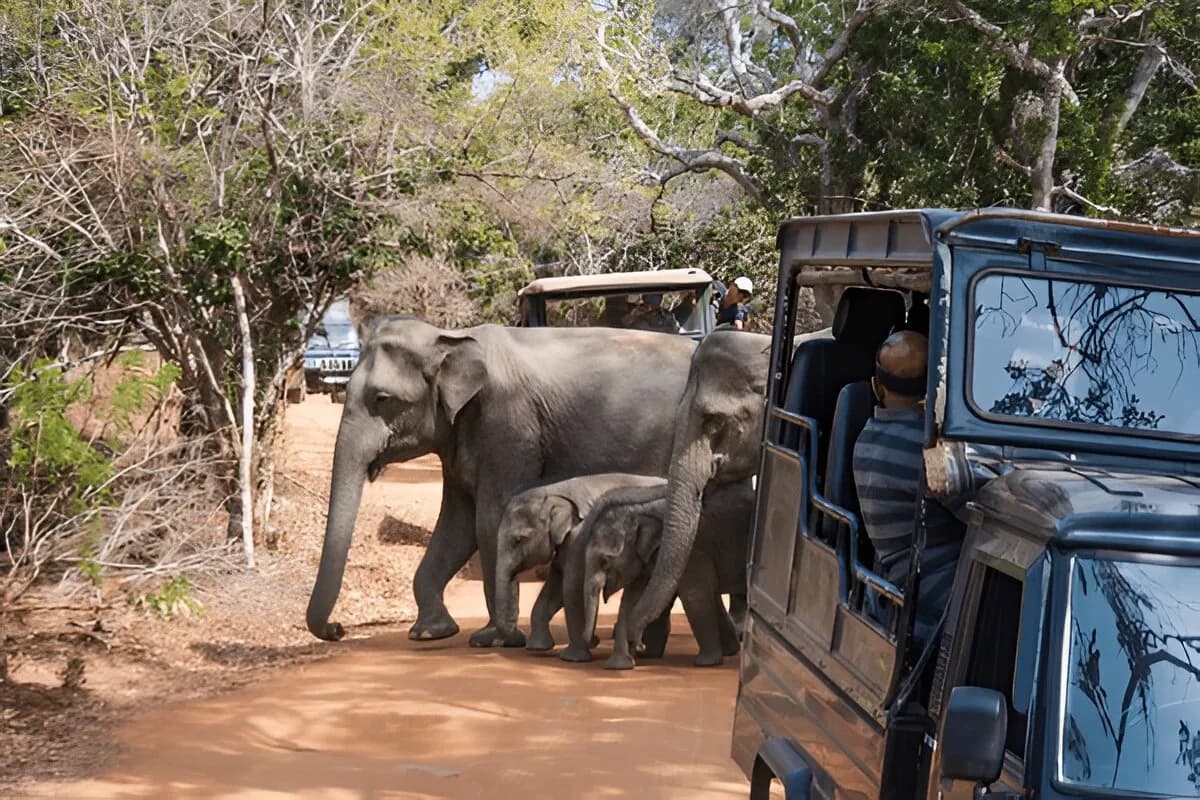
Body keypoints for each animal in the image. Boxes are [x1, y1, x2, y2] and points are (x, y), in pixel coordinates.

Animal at [489, 472, 667, 652]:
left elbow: (572, 585)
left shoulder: (580, 536)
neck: (553, 491)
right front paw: (538, 648)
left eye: (518, 540)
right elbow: (554, 587)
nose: (501, 642)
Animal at [566, 478, 755, 669]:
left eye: (604, 561)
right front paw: (621, 665)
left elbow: (694, 595)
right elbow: (631, 598)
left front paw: (706, 663)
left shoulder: (691, 551)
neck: (638, 511)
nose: (595, 640)